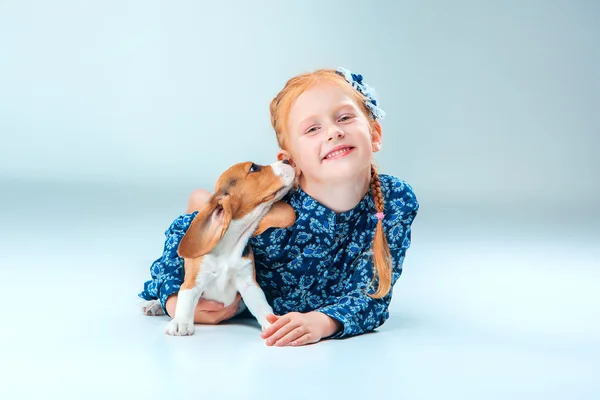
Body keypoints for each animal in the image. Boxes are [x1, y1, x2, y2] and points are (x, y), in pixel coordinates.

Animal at [147, 159, 296, 334]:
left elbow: (261, 305)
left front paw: (273, 322)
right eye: (253, 167)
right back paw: (154, 304)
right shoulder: (194, 280)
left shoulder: (248, 284)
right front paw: (180, 322)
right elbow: (185, 299)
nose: (287, 160)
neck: (229, 245)